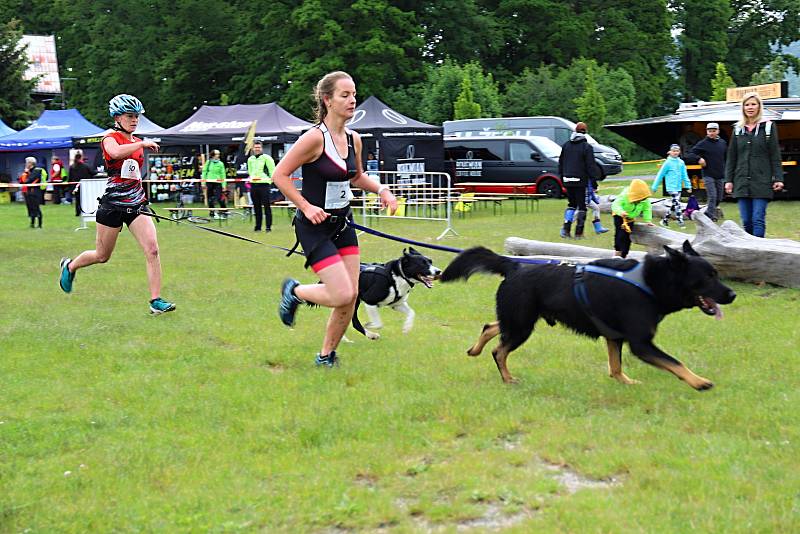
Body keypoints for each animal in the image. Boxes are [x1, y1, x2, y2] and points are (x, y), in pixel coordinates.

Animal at [440, 242, 736, 390]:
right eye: (708, 276)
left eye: (716, 274)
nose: (732, 294)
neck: (651, 282)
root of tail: (514, 266)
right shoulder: (641, 344)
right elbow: (676, 363)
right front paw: (699, 382)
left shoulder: (615, 337)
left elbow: (615, 367)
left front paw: (624, 382)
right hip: (522, 325)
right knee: (499, 351)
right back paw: (507, 378)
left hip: (519, 319)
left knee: (491, 326)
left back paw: (476, 349)